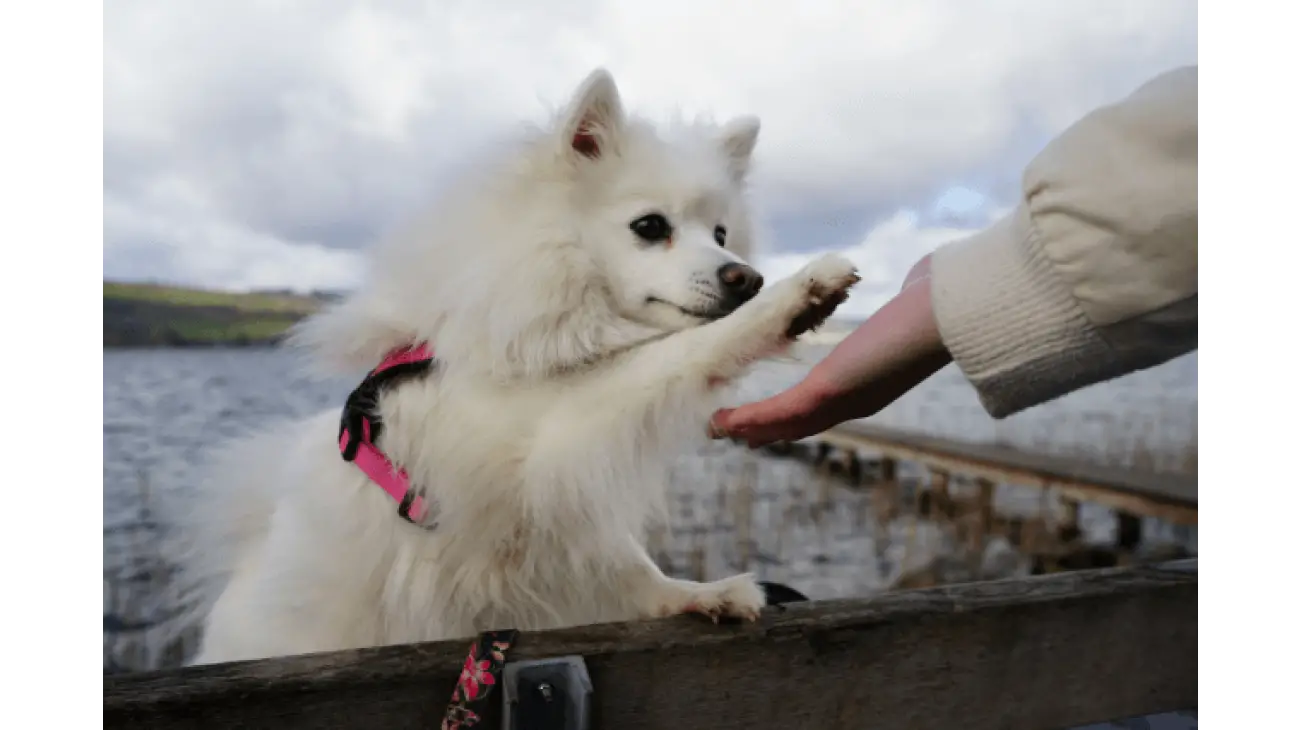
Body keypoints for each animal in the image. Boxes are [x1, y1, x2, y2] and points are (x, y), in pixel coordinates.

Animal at [178, 69, 857, 665]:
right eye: (650, 226)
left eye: (720, 234)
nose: (747, 278)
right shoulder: (552, 432)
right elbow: (676, 352)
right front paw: (796, 296)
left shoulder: (560, 506)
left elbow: (629, 564)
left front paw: (695, 595)